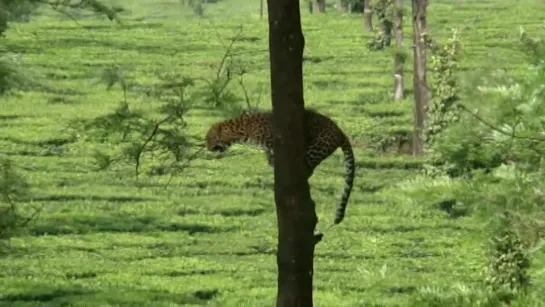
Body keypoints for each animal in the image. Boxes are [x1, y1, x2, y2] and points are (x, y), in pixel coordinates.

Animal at [206, 109, 354, 225]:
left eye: (209, 138)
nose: (207, 148)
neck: (241, 131)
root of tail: (341, 132)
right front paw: (270, 159)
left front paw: (271, 159)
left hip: (317, 147)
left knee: (308, 168)